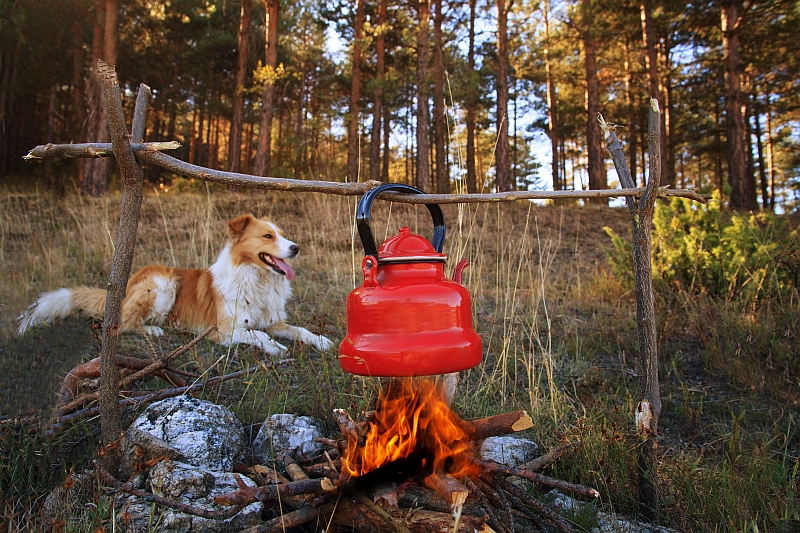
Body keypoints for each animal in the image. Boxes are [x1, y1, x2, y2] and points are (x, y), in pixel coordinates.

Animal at [15, 212, 334, 354]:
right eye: (268, 236)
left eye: (283, 234)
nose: (296, 248)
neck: (257, 279)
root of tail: (129, 281)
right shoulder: (224, 331)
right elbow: (259, 336)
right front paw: (275, 348)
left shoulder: (275, 321)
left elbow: (300, 330)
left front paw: (321, 341)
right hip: (164, 283)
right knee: (122, 323)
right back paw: (154, 330)